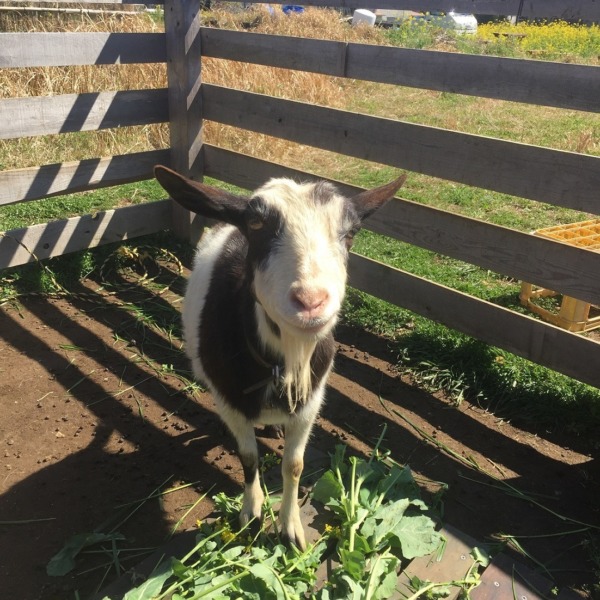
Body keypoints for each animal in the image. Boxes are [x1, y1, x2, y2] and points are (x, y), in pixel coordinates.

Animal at [154, 165, 406, 549]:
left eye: (351, 232)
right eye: (256, 224)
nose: (311, 301)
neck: (280, 361)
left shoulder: (310, 402)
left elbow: (294, 466)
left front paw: (291, 529)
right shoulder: (230, 401)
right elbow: (248, 457)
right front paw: (251, 511)